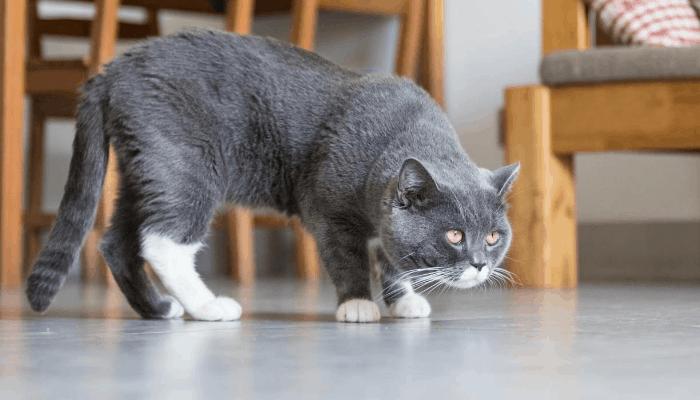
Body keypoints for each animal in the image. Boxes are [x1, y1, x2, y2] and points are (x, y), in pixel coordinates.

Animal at [26, 31, 520, 324]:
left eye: (494, 237)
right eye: (454, 235)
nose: (480, 263)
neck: (408, 130)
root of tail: (113, 69)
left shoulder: (383, 222)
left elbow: (391, 255)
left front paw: (404, 301)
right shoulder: (327, 211)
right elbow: (348, 258)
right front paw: (358, 304)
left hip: (145, 169)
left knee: (117, 242)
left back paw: (159, 308)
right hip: (186, 166)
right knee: (162, 241)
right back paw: (208, 306)